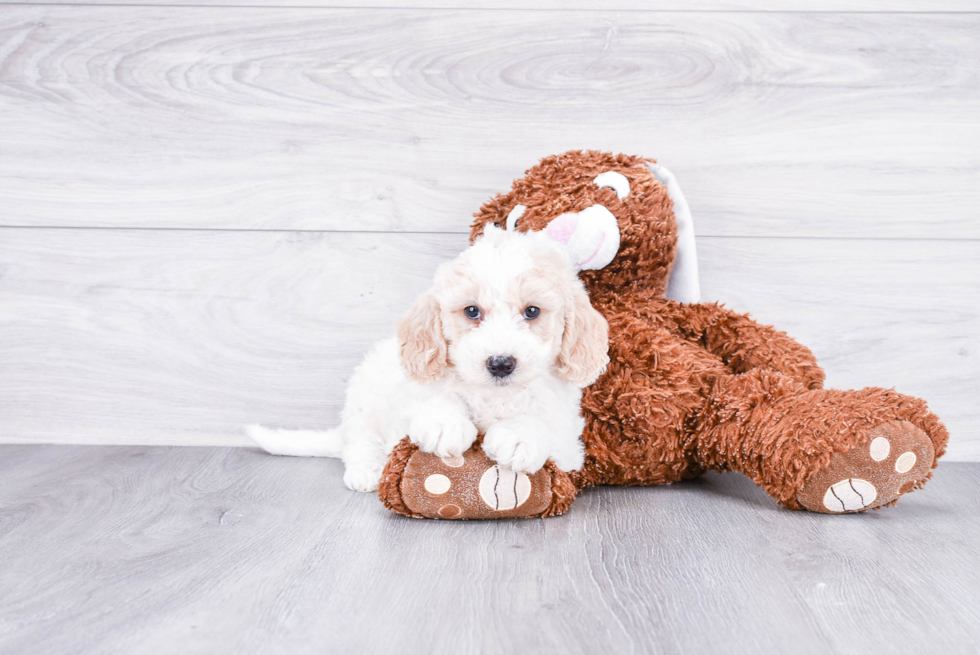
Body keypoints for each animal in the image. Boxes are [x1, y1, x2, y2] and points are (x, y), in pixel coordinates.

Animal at [247, 226, 604, 492]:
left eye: (532, 311)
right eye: (471, 311)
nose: (500, 363)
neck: (493, 395)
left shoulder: (569, 446)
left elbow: (544, 423)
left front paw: (518, 436)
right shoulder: (407, 402)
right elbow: (433, 398)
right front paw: (445, 423)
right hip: (362, 400)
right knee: (359, 441)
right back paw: (366, 471)